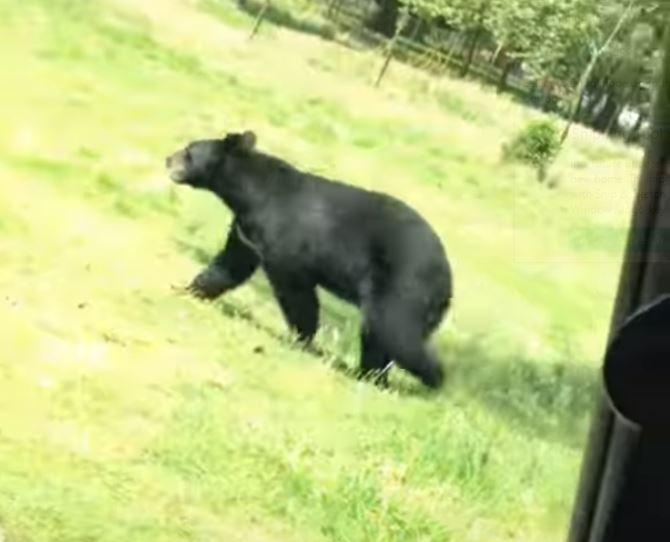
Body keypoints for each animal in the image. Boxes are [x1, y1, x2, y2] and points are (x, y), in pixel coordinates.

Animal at [166, 131, 453, 389]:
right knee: (379, 337)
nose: (168, 159)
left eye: (189, 151)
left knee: (394, 331)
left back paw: (431, 379)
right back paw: (370, 375)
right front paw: (188, 289)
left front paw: (302, 338)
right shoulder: (247, 233)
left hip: (403, 285)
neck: (249, 195)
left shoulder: (284, 239)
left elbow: (296, 291)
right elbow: (230, 265)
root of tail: (447, 283)